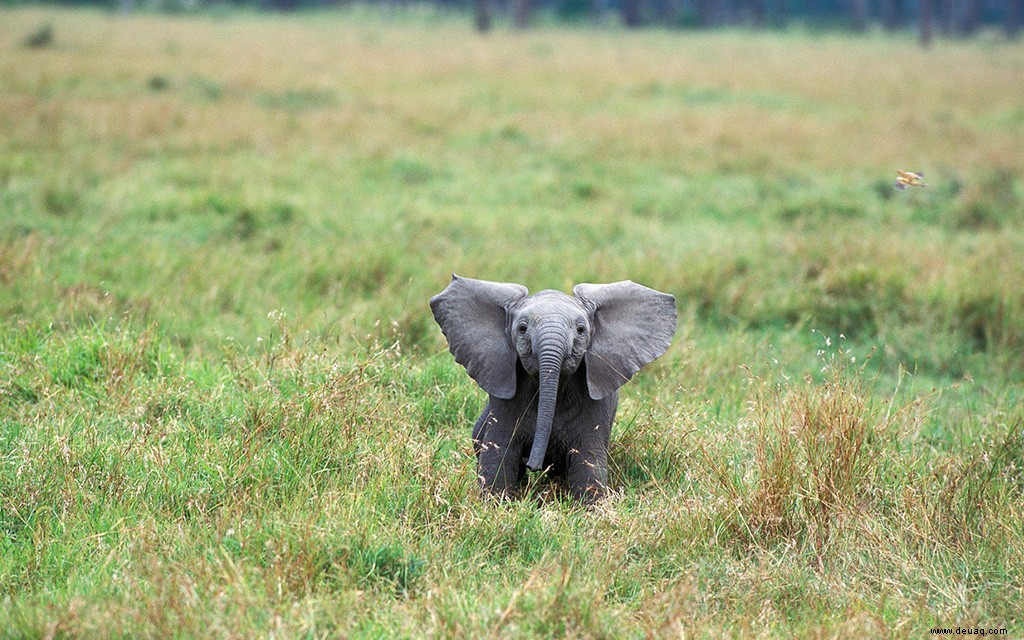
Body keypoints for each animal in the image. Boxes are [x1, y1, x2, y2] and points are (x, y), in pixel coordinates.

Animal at [428, 274, 675, 503]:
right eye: (522, 328)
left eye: (581, 329)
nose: (533, 465)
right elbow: (499, 455)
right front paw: (495, 505)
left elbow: (587, 460)